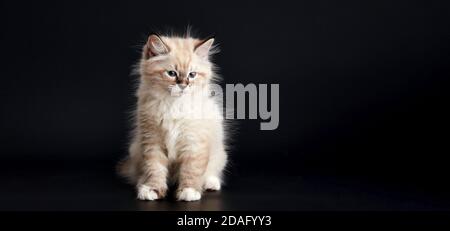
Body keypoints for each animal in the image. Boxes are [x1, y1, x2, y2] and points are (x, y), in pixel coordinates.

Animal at [118, 31, 227, 201]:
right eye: (171, 73)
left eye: (192, 74)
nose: (183, 85)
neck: (173, 104)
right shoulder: (152, 141)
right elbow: (155, 169)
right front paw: (153, 189)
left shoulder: (194, 141)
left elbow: (191, 169)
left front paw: (189, 191)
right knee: (140, 174)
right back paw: (143, 185)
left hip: (220, 153)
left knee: (212, 171)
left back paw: (210, 184)